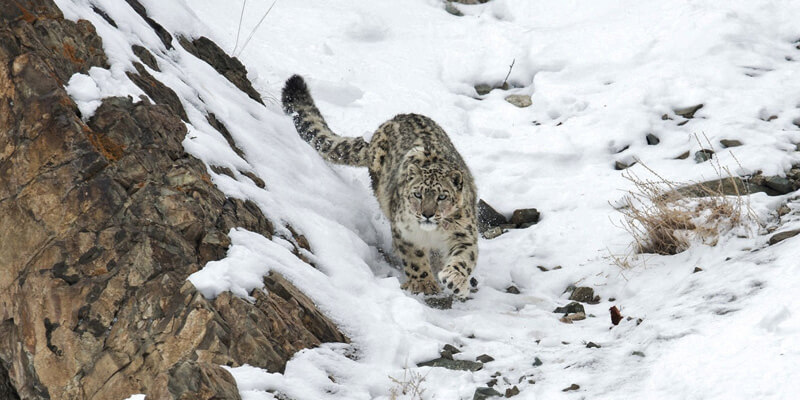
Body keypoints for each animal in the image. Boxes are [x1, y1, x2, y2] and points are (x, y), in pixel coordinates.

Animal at [282, 75, 476, 298]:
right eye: (417, 195)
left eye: (442, 196)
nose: (427, 214)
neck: (431, 234)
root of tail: (397, 117)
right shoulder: (404, 231)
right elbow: (414, 258)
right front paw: (423, 284)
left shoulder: (464, 233)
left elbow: (464, 257)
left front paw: (455, 280)